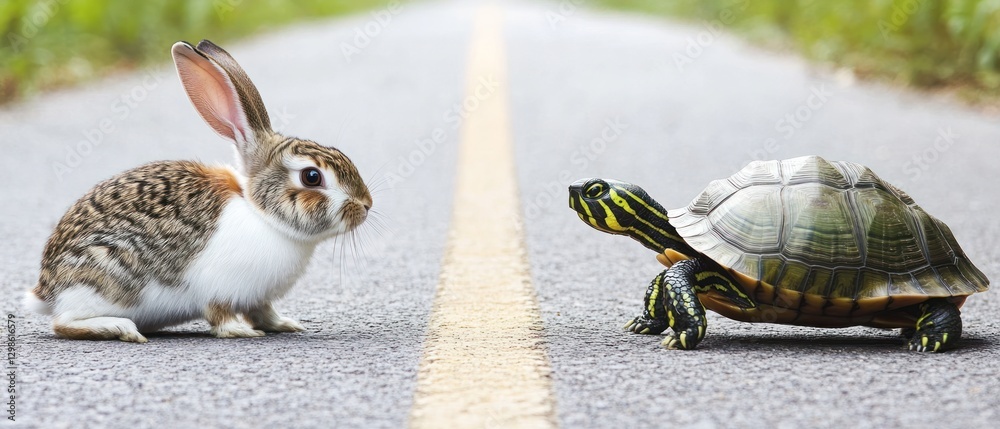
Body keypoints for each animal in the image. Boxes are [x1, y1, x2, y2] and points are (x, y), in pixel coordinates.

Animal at [24, 39, 372, 343]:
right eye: (312, 177)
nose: (366, 205)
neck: (262, 215)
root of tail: (46, 290)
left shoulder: (257, 298)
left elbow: (263, 312)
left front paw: (285, 324)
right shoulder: (218, 288)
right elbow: (220, 315)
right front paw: (240, 332)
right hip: (105, 281)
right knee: (64, 323)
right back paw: (119, 328)